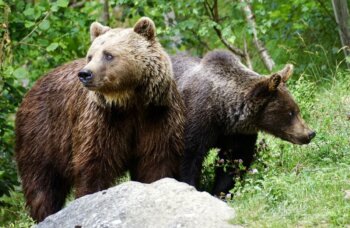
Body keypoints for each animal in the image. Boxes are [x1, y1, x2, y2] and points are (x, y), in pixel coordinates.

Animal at [15, 17, 185, 223]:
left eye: (108, 55)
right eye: (90, 55)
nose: (85, 74)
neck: (129, 102)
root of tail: (32, 88)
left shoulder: (157, 116)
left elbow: (156, 161)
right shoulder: (102, 120)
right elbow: (95, 165)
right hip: (42, 134)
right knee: (41, 185)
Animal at [172, 50, 314, 196]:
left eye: (297, 109)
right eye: (290, 112)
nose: (310, 133)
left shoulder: (238, 134)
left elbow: (234, 162)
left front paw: (222, 192)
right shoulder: (197, 121)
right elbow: (189, 158)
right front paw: (190, 185)